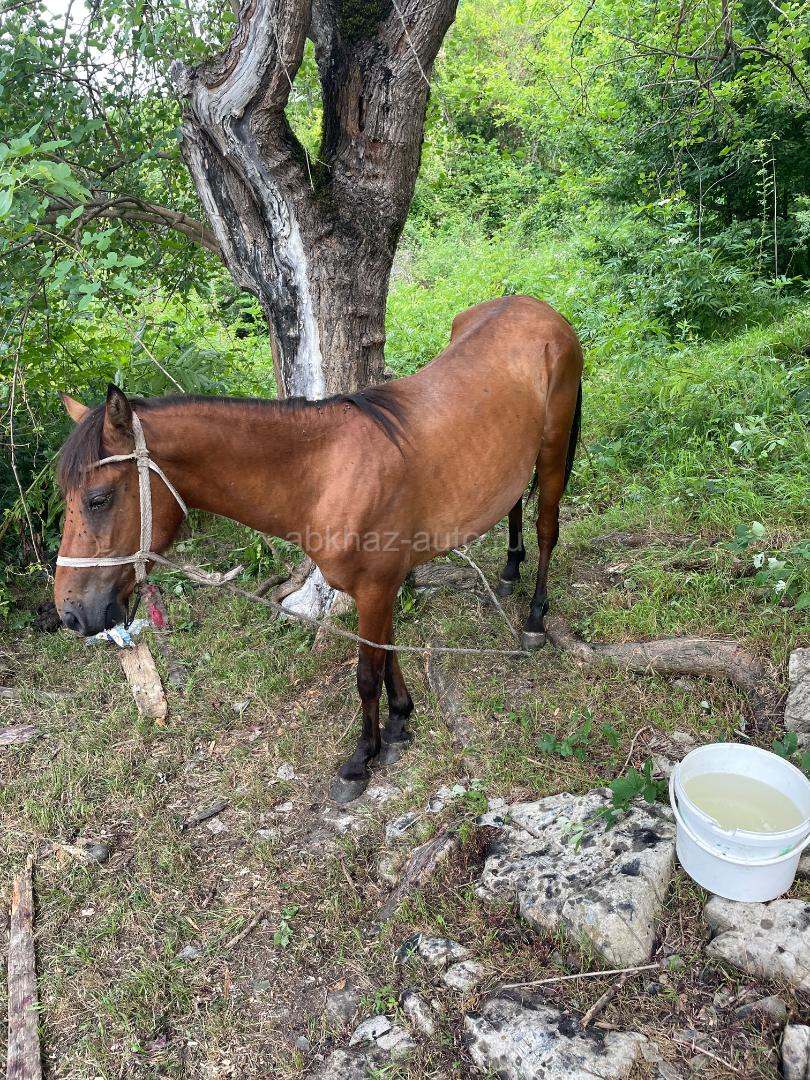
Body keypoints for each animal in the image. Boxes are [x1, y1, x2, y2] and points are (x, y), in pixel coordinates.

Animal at [54, 295, 583, 803]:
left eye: (98, 499)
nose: (71, 614)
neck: (324, 475)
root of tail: (539, 310)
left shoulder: (375, 587)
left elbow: (367, 673)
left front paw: (361, 760)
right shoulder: (380, 587)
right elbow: (387, 653)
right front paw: (398, 723)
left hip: (553, 448)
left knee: (545, 528)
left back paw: (535, 619)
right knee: (514, 505)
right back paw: (509, 573)